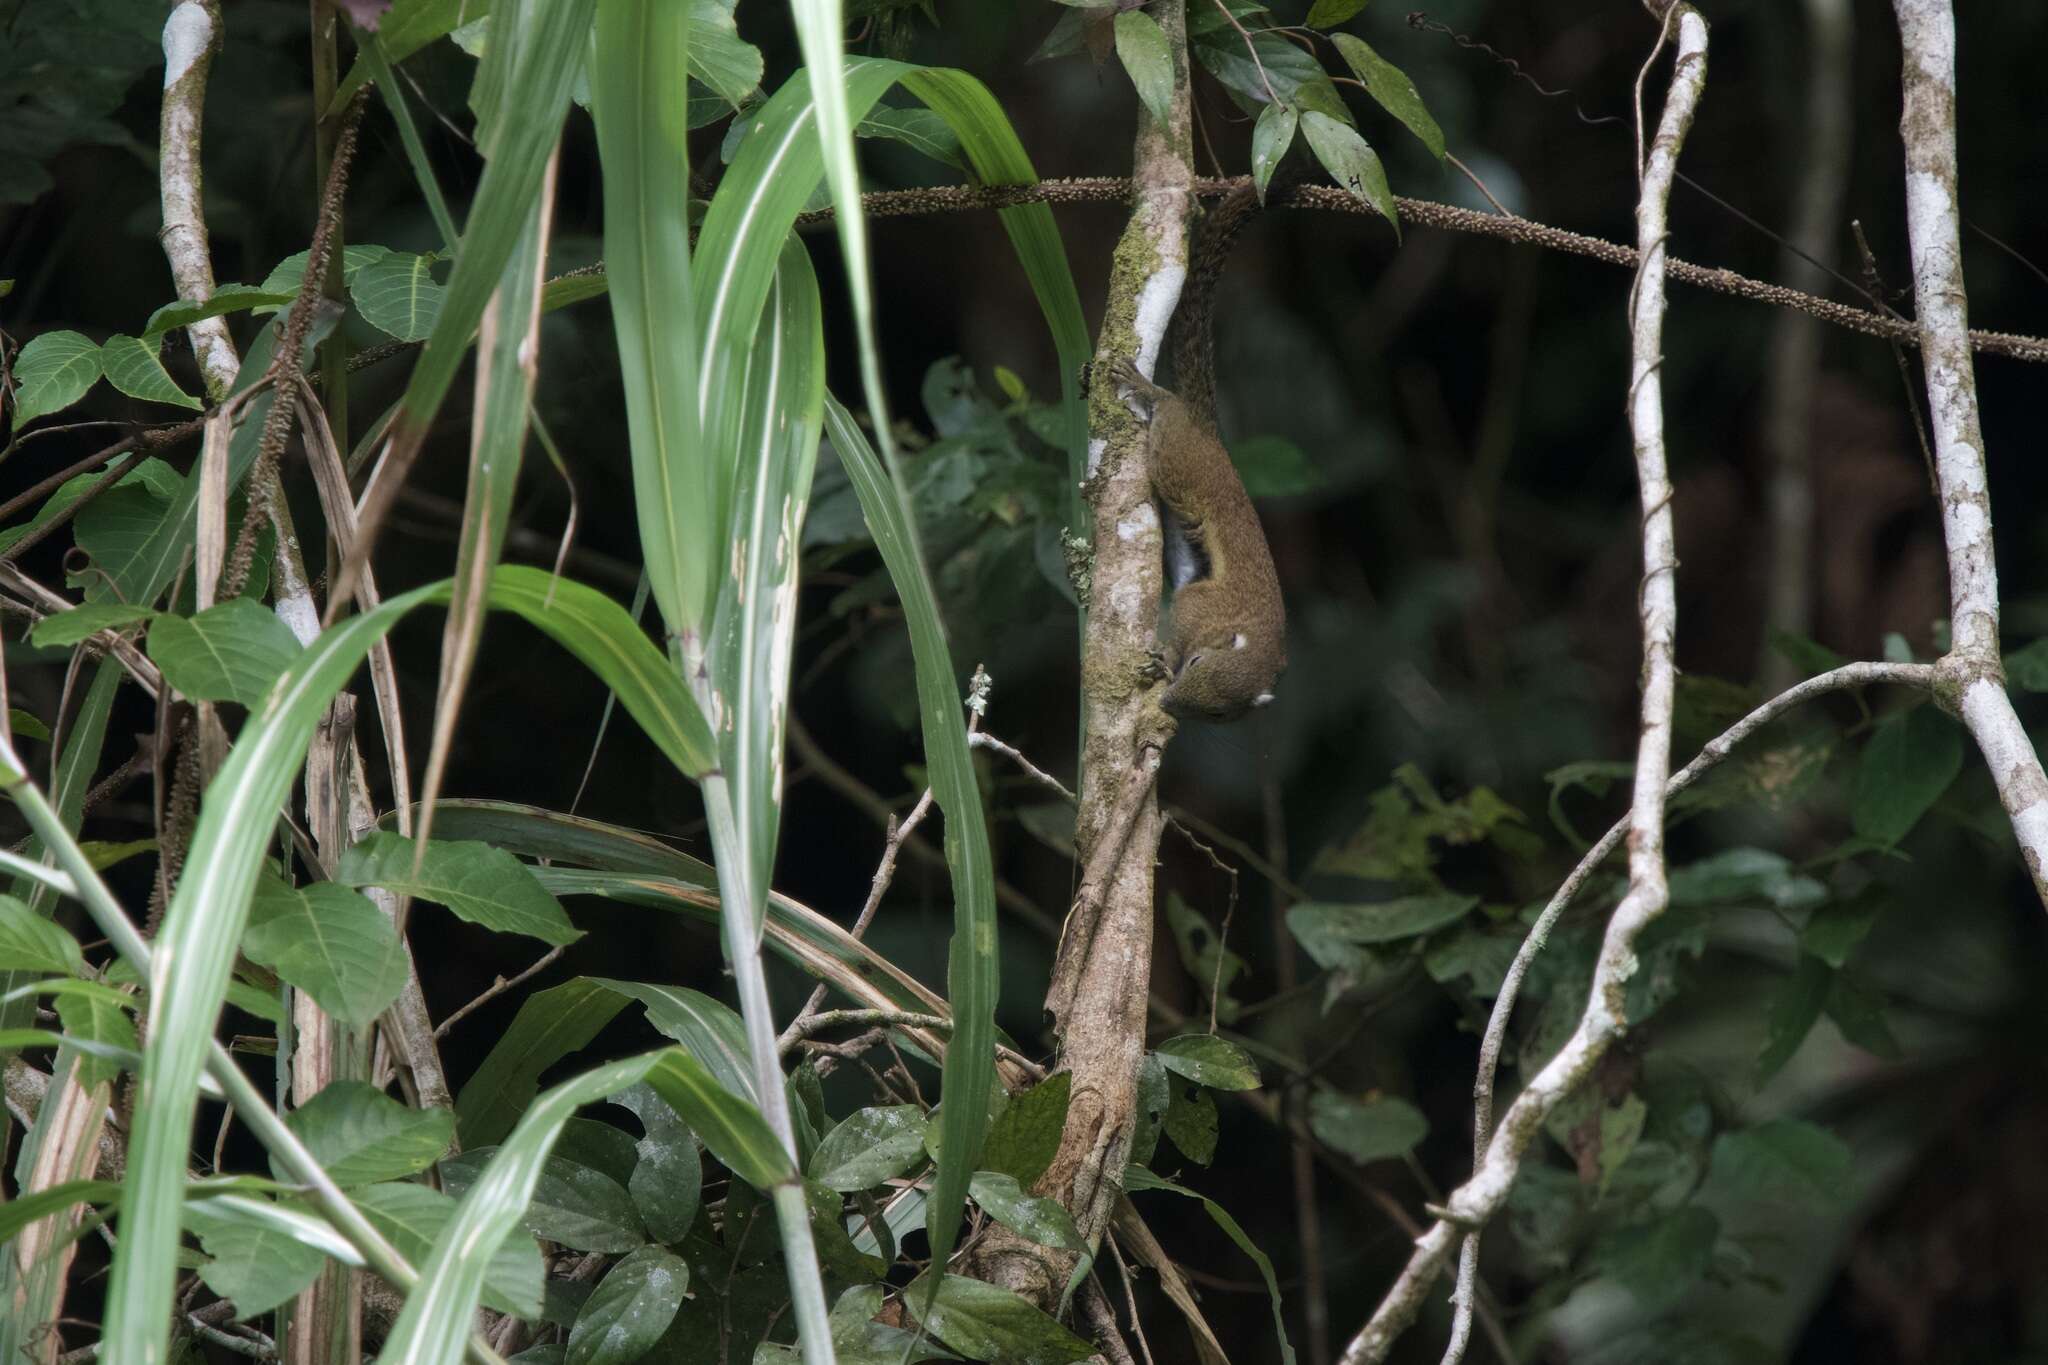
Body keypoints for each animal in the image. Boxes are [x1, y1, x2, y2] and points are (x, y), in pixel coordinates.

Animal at [1114, 183, 1286, 724]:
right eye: (1194, 666)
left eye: (1216, 715)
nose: (1171, 703)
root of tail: (1209, 431)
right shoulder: (1205, 604)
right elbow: (1188, 602)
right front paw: (1162, 658)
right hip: (1179, 458)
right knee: (1168, 414)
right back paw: (1150, 392)